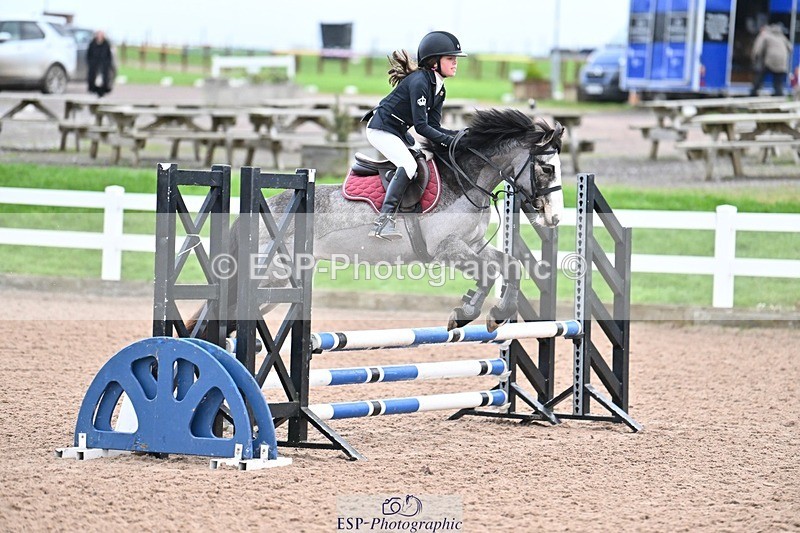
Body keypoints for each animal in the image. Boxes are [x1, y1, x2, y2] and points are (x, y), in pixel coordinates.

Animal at [192, 108, 564, 336]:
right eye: (547, 168)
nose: (554, 217)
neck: (461, 181)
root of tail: (259, 209)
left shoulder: (469, 246)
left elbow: (508, 264)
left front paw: (488, 312)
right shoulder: (447, 250)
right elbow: (491, 270)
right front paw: (469, 312)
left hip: (280, 286)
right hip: (272, 279)